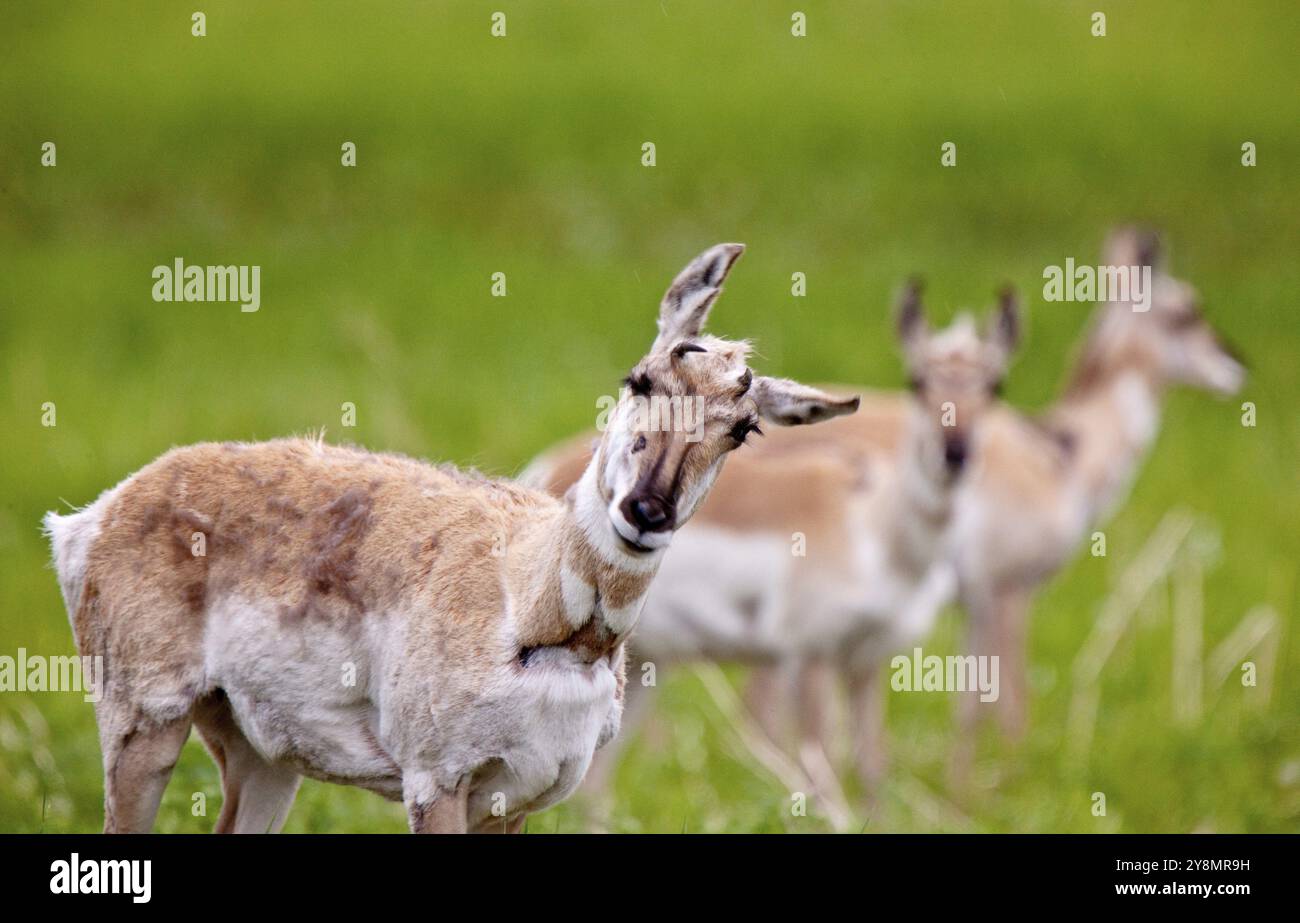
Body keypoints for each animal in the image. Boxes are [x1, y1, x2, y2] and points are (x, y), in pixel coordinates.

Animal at [43, 243, 859, 833]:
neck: (527, 603)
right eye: (640, 379)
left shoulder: (518, 798)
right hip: (143, 724)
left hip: (263, 756)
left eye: (743, 428)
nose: (646, 509)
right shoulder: (434, 783)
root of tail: (101, 511)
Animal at [521, 283, 1021, 792]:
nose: (955, 454)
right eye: (916, 381)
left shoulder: (865, 661)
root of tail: (546, 468)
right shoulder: (809, 657)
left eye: (995, 386)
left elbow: (871, 768)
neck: (876, 530)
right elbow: (818, 767)